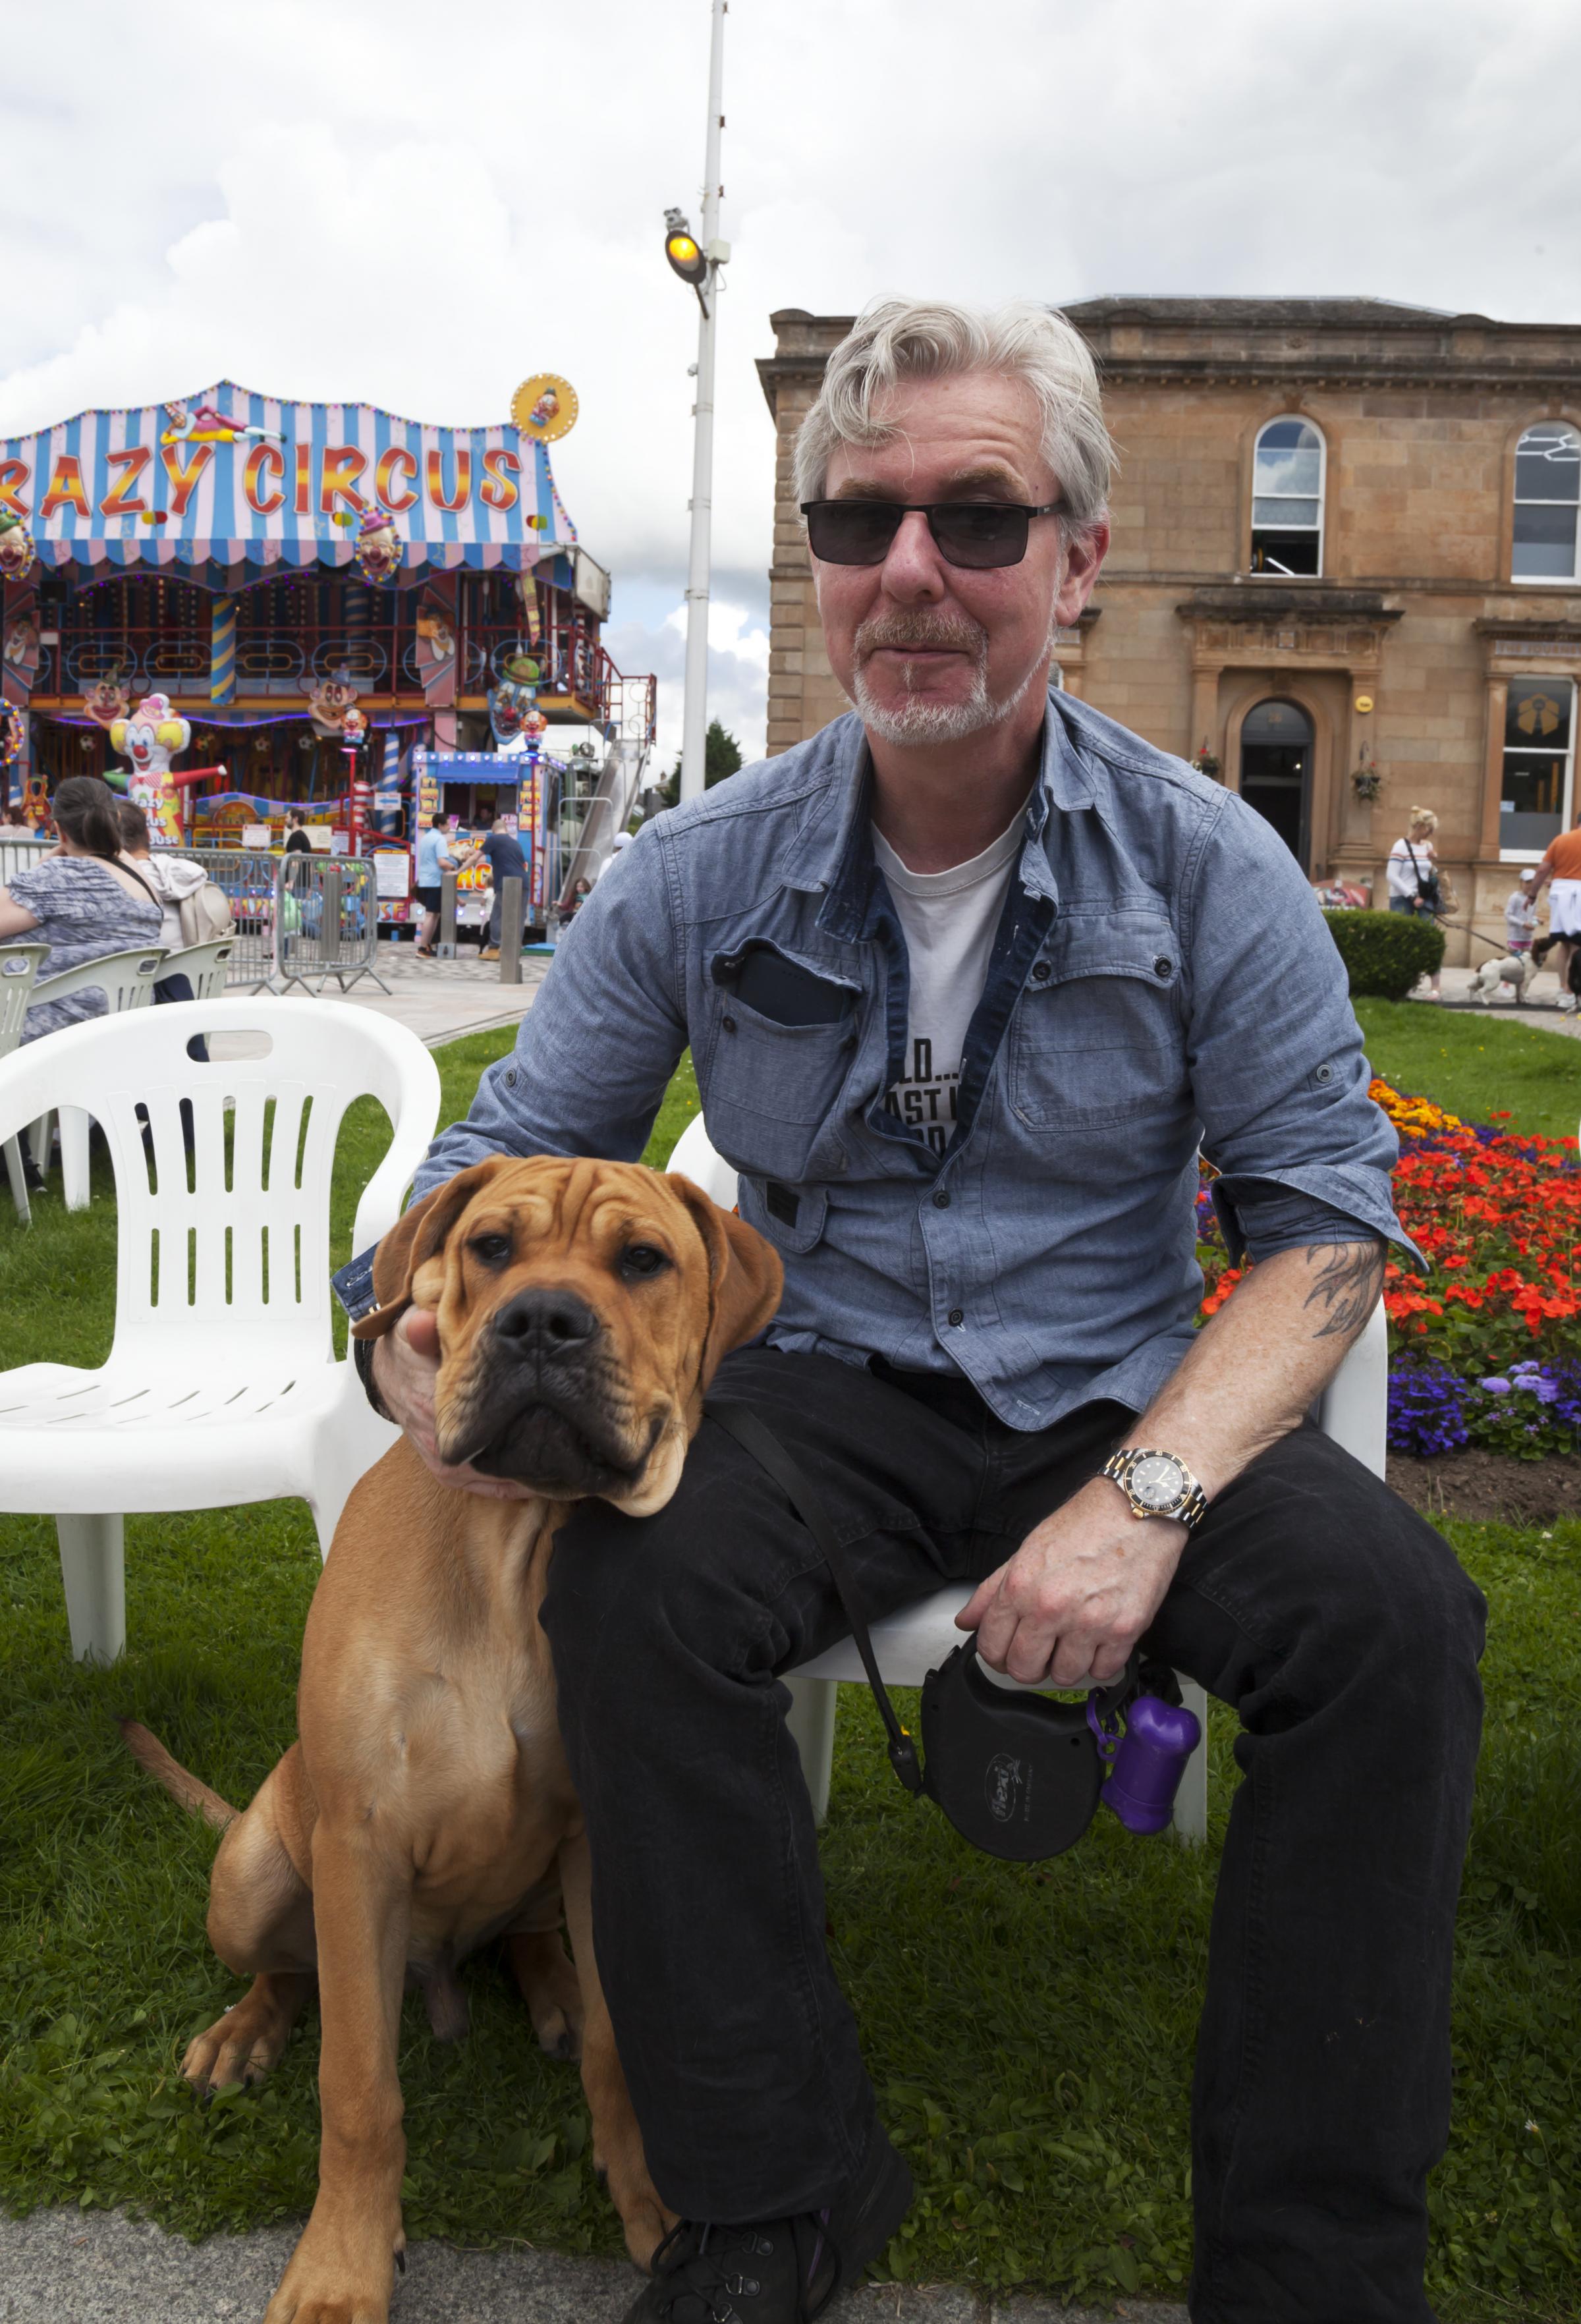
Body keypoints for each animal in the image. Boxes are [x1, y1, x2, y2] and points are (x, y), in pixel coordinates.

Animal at [125, 1152, 785, 2324]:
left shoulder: (604, 1834)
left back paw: (552, 1986)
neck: (509, 1542)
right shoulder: (357, 1842)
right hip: (254, 1876)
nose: (543, 1320)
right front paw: (341, 2263)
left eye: (643, 1261)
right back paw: (243, 2032)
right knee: (289, 1973)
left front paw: (652, 2202)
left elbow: (618, 2046)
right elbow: (357, 2088)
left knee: (526, 1940)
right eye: (490, 1247)